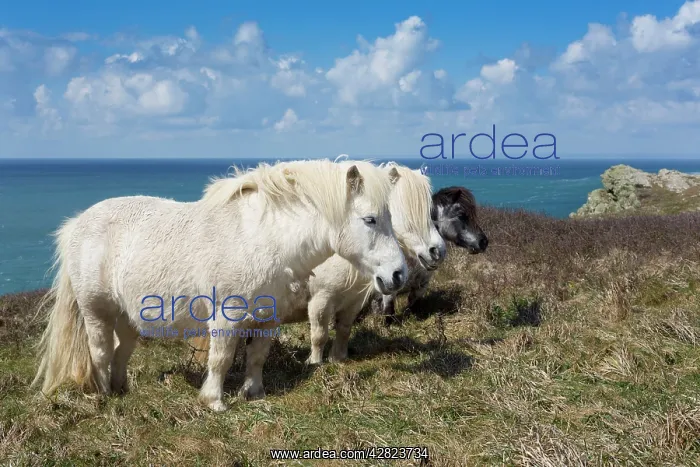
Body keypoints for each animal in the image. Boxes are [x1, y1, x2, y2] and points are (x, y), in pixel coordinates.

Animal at [31, 159, 409, 412]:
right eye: (370, 219)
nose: (398, 275)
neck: (263, 239)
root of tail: (77, 224)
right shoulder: (227, 317)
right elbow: (222, 359)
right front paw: (214, 402)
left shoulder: (268, 319)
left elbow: (257, 356)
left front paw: (254, 393)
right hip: (96, 310)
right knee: (99, 350)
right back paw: (105, 395)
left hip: (127, 316)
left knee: (121, 349)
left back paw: (121, 388)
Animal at [370, 185, 488, 325]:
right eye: (461, 215)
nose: (484, 242)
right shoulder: (389, 292)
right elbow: (388, 313)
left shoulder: (421, 285)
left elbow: (413, 306)